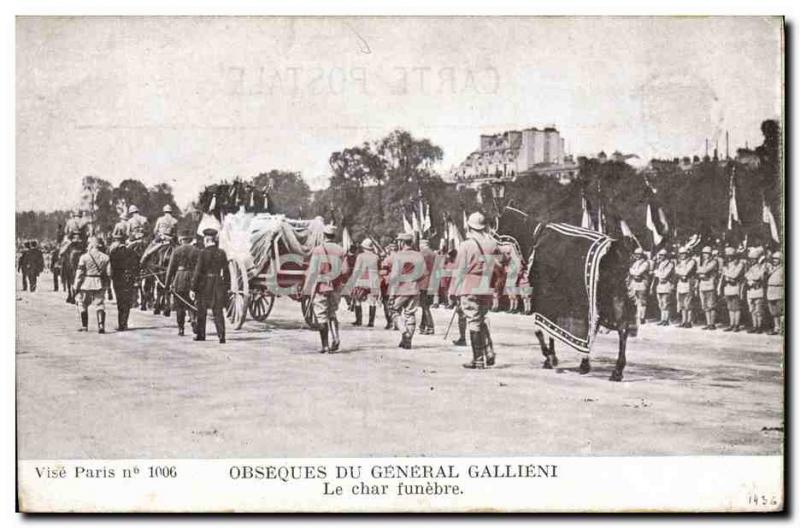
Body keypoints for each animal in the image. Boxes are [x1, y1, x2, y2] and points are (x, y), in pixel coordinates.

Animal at [496, 204, 636, 382]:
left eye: (498, 223)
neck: (535, 237)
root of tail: (616, 247)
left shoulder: (545, 296)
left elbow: (541, 330)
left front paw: (550, 357)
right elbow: (550, 330)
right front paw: (552, 357)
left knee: (604, 328)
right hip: (615, 296)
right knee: (621, 328)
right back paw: (615, 370)